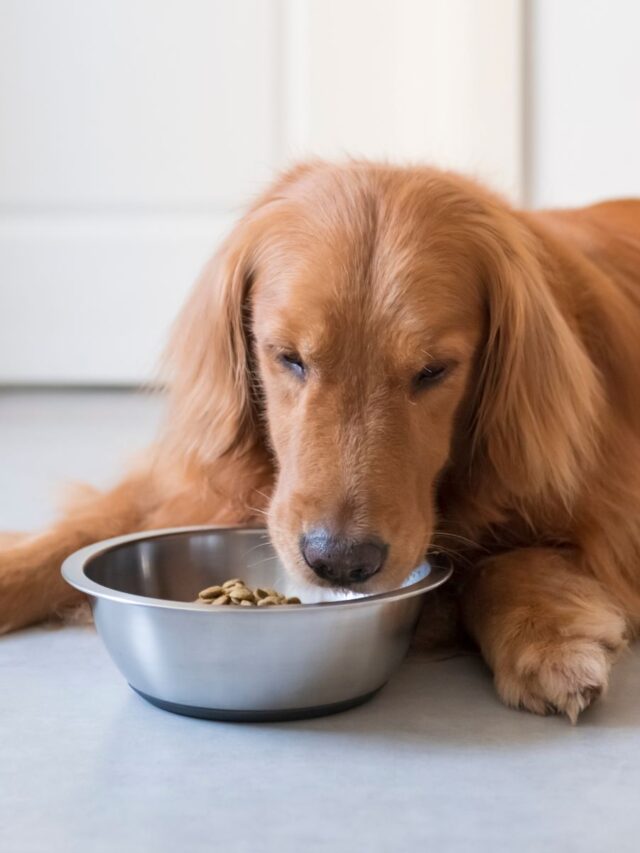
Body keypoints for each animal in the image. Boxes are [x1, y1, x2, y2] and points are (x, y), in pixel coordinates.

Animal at [1, 160, 640, 720]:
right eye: (288, 357)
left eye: (434, 370)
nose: (340, 561)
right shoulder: (191, 483)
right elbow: (80, 530)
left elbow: (502, 561)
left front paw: (548, 640)